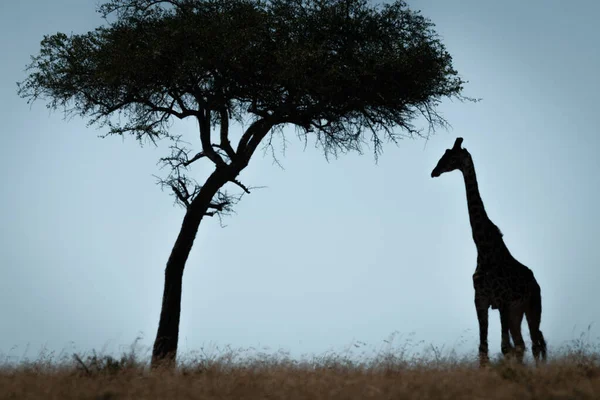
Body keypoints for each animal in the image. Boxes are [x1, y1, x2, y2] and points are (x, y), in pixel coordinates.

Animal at [428, 138, 548, 366]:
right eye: (443, 154)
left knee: (536, 342)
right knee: (524, 343)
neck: (483, 248)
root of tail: (536, 281)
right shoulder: (480, 301)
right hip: (516, 312)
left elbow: (504, 348)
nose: (434, 171)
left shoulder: (502, 301)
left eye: (452, 157)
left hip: (532, 306)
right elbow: (484, 349)